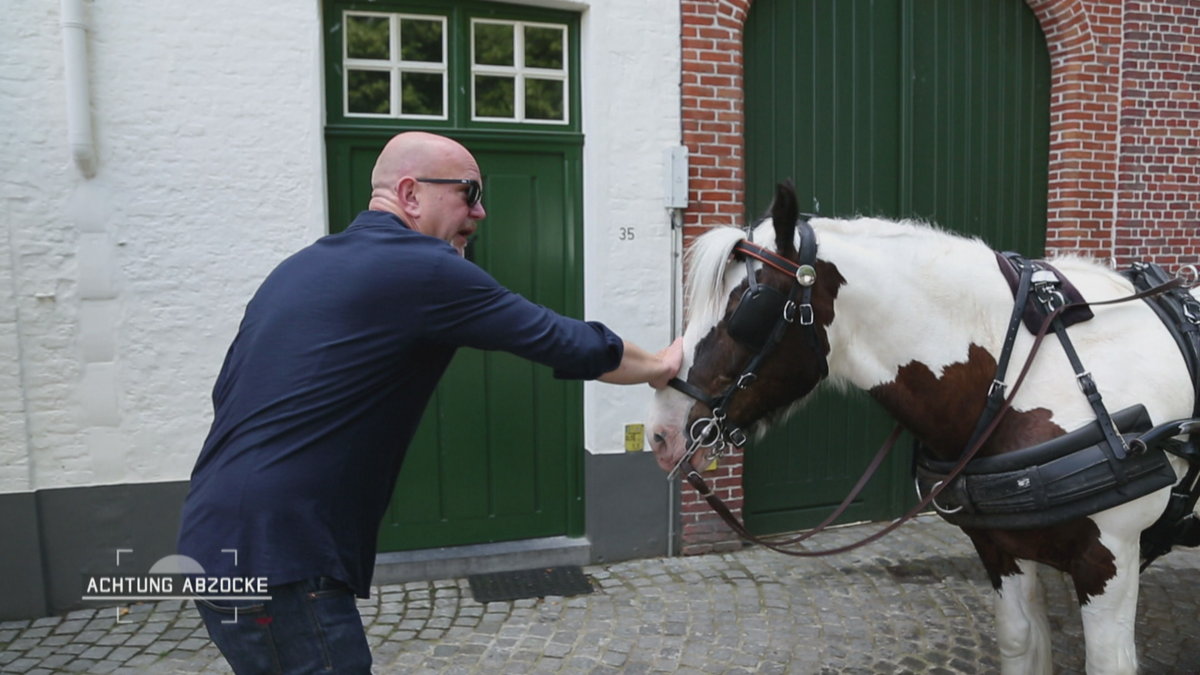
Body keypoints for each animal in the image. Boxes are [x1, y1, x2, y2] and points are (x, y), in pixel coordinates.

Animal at [652, 180, 1195, 672]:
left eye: (746, 309)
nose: (662, 433)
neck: (1026, 369)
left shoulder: (1110, 557)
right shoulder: (1002, 549)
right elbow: (1019, 643)